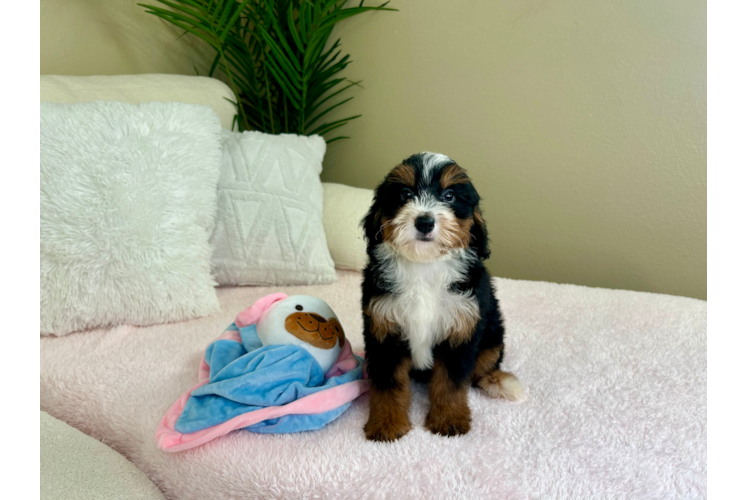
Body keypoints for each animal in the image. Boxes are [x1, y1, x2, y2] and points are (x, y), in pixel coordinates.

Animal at [360, 152, 524, 442]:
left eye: (449, 196)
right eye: (405, 193)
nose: (424, 221)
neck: (424, 265)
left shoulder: (461, 327)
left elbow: (451, 381)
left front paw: (449, 419)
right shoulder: (383, 328)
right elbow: (387, 382)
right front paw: (386, 424)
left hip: (492, 335)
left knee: (484, 368)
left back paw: (501, 382)